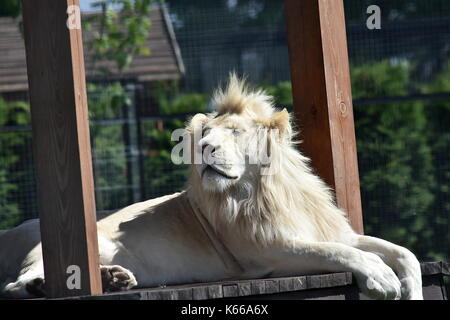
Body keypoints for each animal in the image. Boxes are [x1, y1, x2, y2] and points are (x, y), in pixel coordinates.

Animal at [0, 74, 422, 298]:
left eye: (234, 132)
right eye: (204, 134)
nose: (204, 147)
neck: (263, 193)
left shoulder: (330, 231)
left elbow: (403, 253)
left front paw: (409, 286)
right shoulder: (265, 253)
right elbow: (340, 254)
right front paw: (380, 278)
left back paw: (113, 278)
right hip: (55, 241)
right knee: (14, 284)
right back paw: (45, 285)